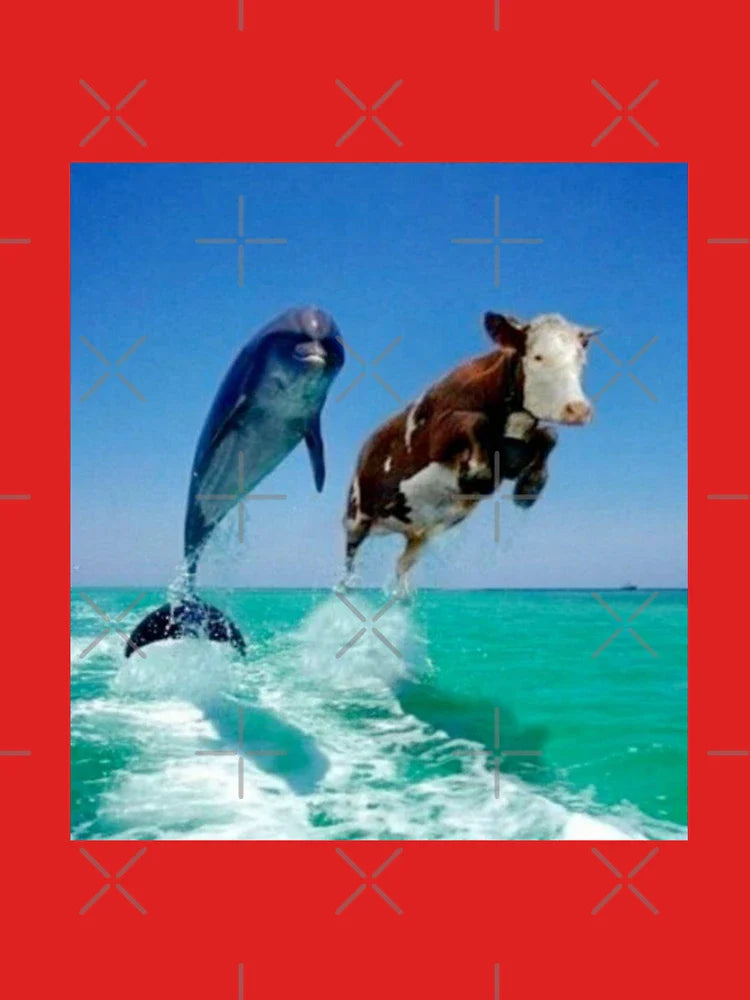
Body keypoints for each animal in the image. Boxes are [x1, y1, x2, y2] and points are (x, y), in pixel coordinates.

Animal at [341, 311, 595, 591]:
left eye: (581, 360)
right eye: (538, 356)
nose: (578, 409)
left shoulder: (513, 455)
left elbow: (549, 435)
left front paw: (530, 486)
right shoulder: (437, 433)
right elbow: (476, 421)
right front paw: (477, 474)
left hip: (419, 533)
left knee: (403, 564)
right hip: (356, 516)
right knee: (349, 560)